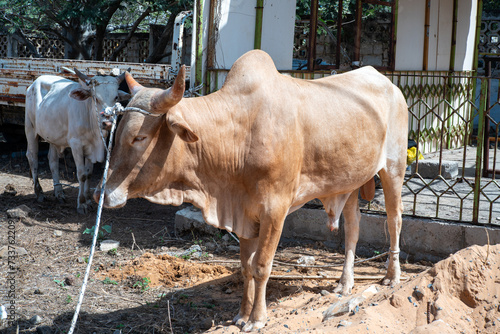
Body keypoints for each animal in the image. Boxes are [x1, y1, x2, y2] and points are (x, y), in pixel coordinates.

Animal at [25, 69, 130, 213]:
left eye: (116, 98)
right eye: (96, 98)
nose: (108, 123)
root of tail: (34, 83)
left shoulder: (92, 148)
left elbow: (89, 173)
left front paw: (88, 200)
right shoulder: (76, 146)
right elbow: (81, 174)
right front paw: (81, 203)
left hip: (52, 137)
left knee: (53, 161)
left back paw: (59, 193)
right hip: (30, 129)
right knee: (32, 158)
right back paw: (39, 192)